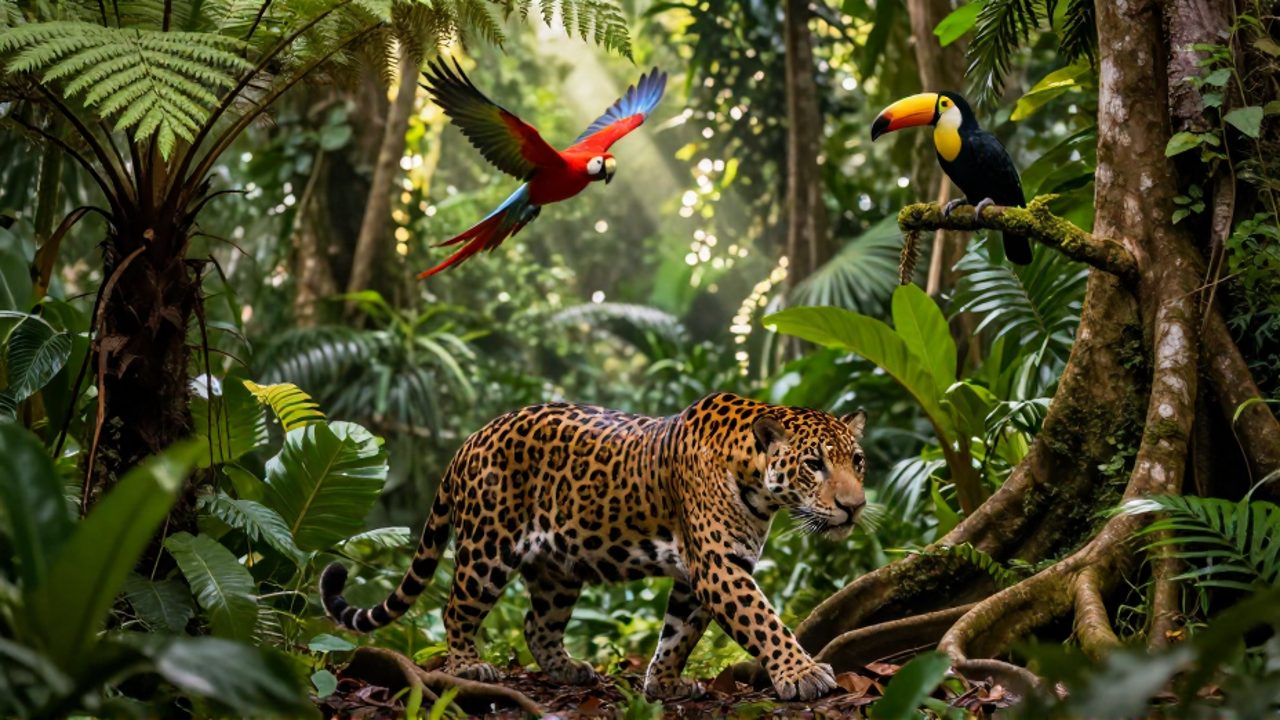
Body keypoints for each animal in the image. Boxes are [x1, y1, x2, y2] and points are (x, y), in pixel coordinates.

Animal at [320, 392, 868, 702]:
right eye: (814, 464)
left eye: (857, 461)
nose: (855, 506)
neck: (756, 479)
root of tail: (470, 439)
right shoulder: (719, 567)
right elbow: (764, 622)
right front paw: (802, 673)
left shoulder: (702, 573)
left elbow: (678, 634)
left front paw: (662, 684)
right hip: (487, 544)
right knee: (456, 608)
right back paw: (467, 666)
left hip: (558, 567)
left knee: (536, 623)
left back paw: (568, 670)